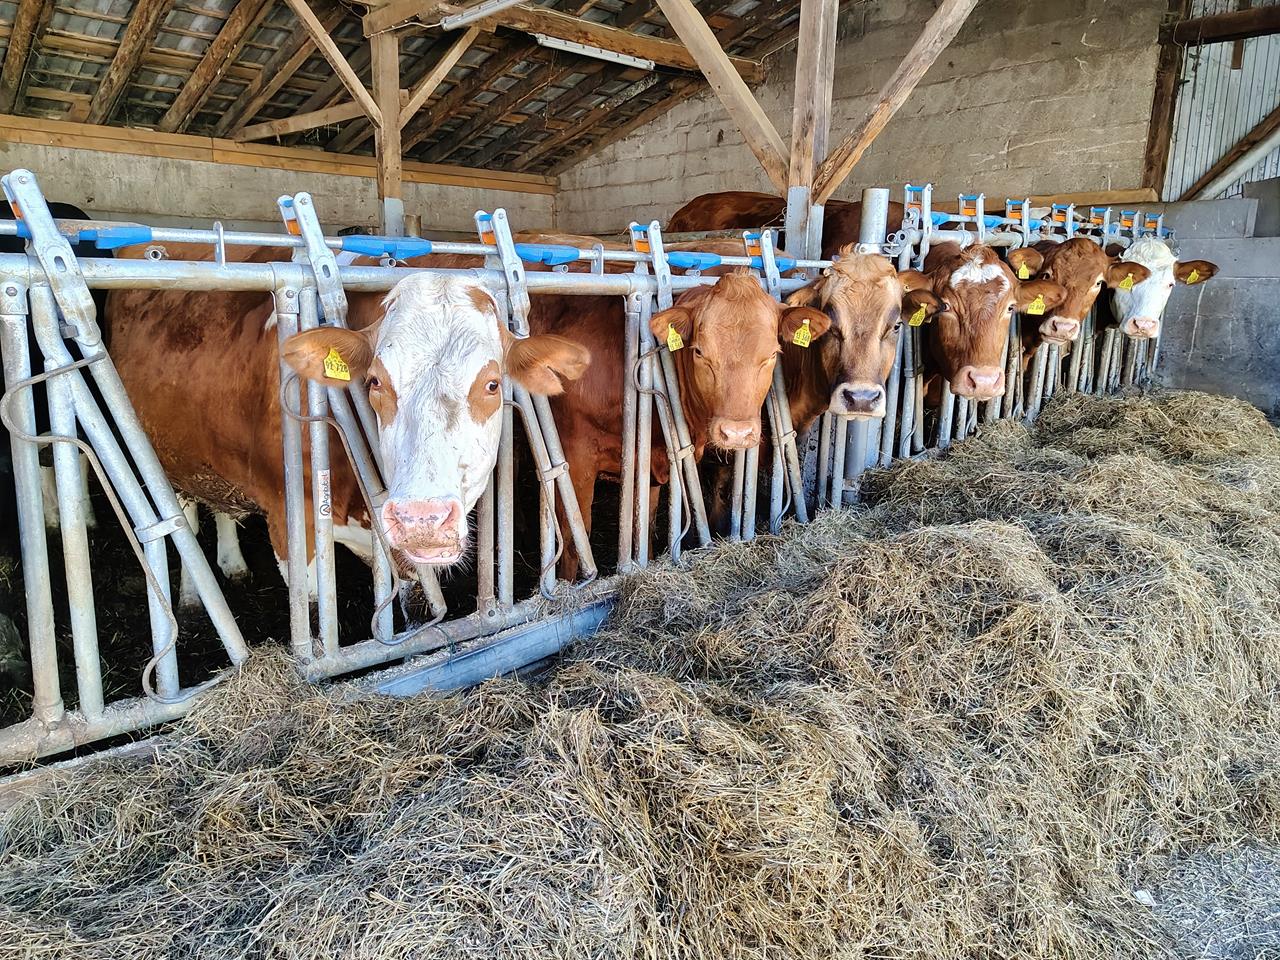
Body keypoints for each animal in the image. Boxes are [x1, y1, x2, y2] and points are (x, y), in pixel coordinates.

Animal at [107, 243, 589, 588]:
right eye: (374, 381)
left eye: (492, 384)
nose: (422, 519)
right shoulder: (291, 524)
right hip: (163, 449)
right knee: (185, 513)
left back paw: (232, 563)